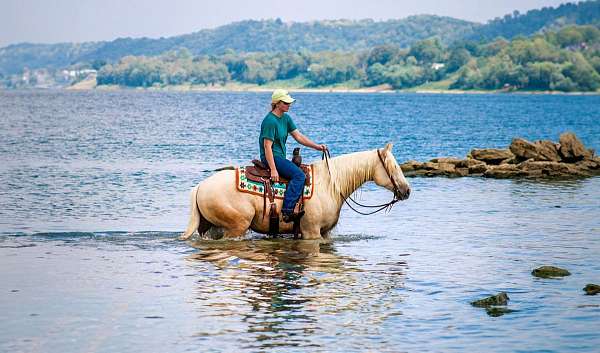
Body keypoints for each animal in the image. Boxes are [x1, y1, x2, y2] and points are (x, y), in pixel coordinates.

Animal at [180, 142, 410, 239]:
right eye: (393, 166)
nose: (407, 191)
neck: (330, 184)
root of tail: (200, 186)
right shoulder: (311, 232)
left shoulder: (324, 233)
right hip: (236, 227)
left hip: (212, 227)